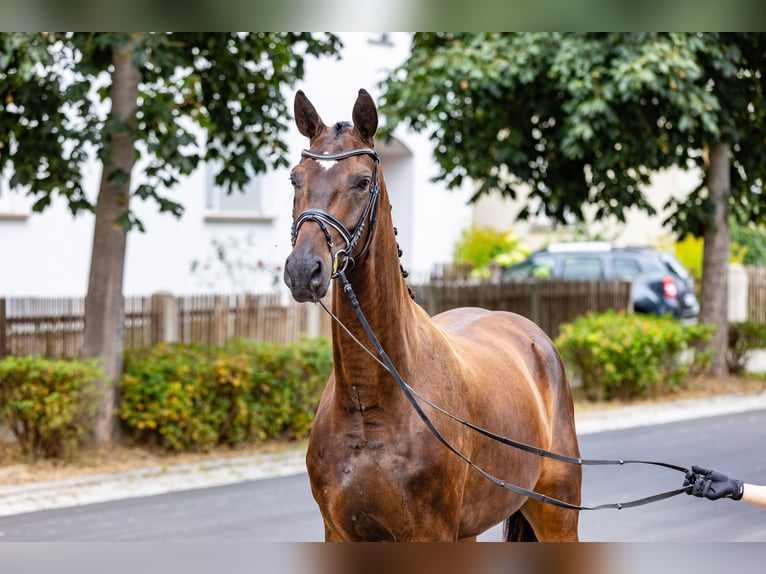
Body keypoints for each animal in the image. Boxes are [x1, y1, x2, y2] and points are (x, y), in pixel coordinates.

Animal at [284, 88, 584, 544]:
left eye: (363, 181)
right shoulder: (339, 532)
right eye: (295, 178)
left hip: (557, 514)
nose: (304, 271)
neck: (369, 406)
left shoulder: (430, 535)